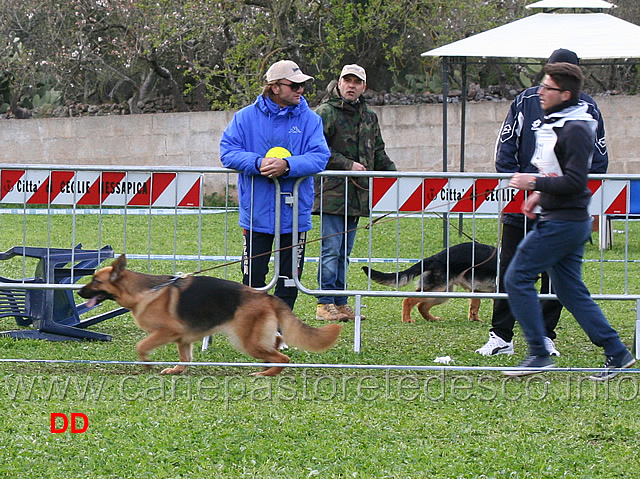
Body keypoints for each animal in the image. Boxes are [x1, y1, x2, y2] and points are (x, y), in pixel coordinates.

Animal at [77, 256, 342, 376]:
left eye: (95, 281)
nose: (78, 291)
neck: (143, 291)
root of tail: (265, 296)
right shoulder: (182, 339)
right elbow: (185, 358)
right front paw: (176, 371)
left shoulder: (168, 332)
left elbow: (141, 345)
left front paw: (147, 362)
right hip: (255, 337)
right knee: (276, 343)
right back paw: (267, 365)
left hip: (245, 340)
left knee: (282, 358)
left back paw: (265, 373)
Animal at [362, 242, 498, 324]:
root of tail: (434, 258)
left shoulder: (476, 291)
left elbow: (475, 306)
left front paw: (475, 319)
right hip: (437, 289)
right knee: (408, 300)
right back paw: (407, 319)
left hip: (443, 292)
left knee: (422, 306)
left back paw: (431, 319)